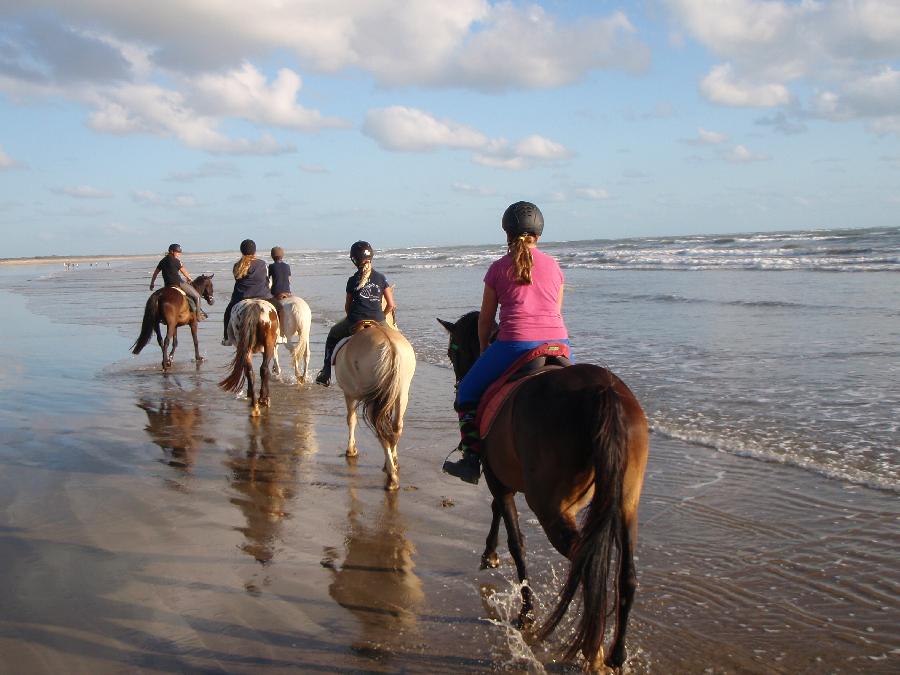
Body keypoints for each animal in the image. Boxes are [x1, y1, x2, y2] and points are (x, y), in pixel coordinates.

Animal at [440, 312, 652, 675]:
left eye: (453, 351)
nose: (458, 388)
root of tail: (602, 391)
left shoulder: (498, 478)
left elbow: (516, 541)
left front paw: (525, 613)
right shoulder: (502, 476)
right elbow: (497, 510)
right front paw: (489, 553)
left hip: (550, 506)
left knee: (587, 565)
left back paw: (593, 651)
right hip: (627, 502)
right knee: (626, 575)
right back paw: (615, 654)